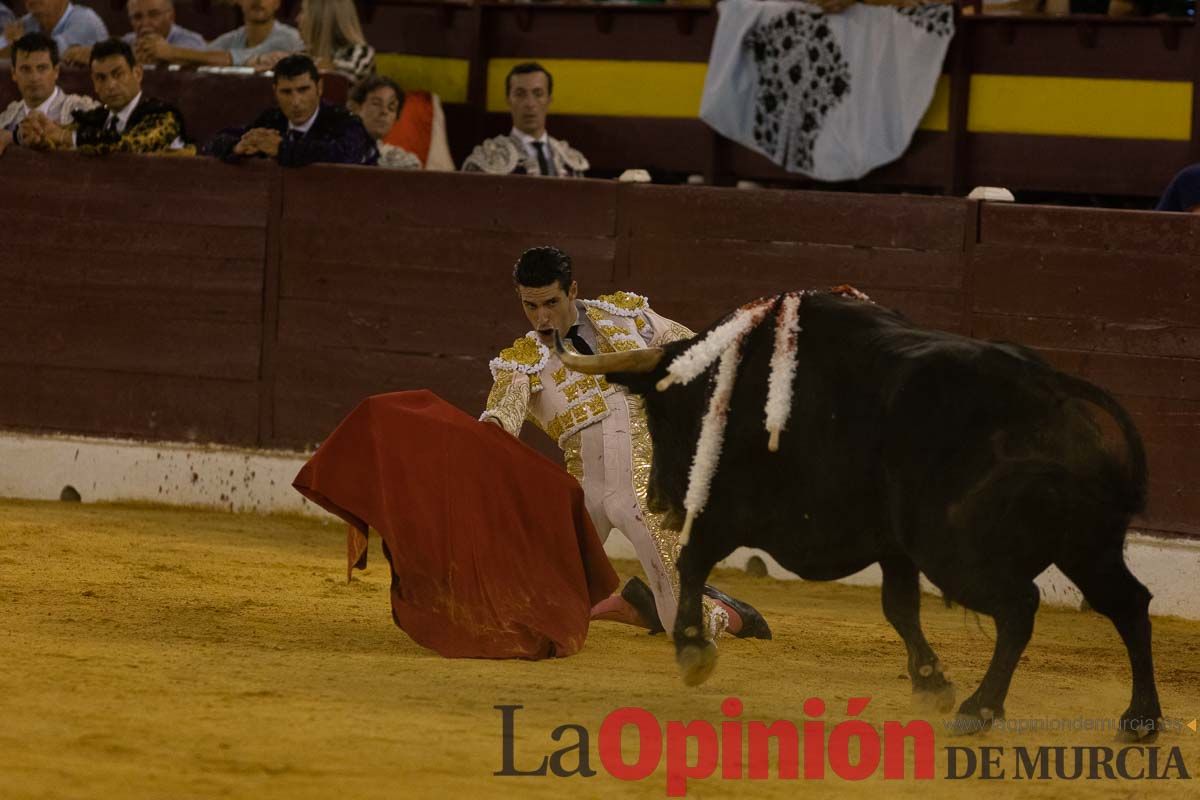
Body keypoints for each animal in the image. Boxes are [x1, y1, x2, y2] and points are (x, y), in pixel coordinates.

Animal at [559, 292, 1161, 738]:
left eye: (662, 413)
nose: (659, 499)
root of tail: (1063, 395)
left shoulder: (744, 514)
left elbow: (691, 561)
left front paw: (691, 650)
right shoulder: (891, 545)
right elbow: (899, 608)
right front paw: (930, 682)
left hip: (958, 552)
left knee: (1020, 608)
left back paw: (980, 709)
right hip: (1087, 545)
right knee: (1128, 603)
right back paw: (1140, 719)